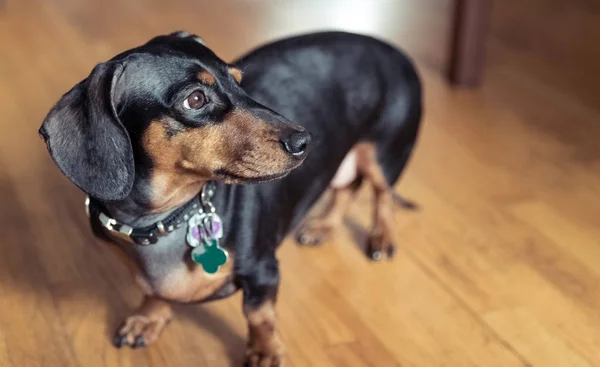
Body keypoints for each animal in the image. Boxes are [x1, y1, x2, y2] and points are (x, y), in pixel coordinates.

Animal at [38, 30, 422, 366]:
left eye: (239, 82)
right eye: (195, 99)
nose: (304, 142)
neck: (166, 218)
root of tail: (391, 48)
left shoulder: (263, 270)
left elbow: (259, 315)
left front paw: (265, 351)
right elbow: (153, 291)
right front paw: (149, 318)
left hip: (383, 154)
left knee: (382, 195)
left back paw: (382, 237)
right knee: (346, 188)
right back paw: (324, 226)